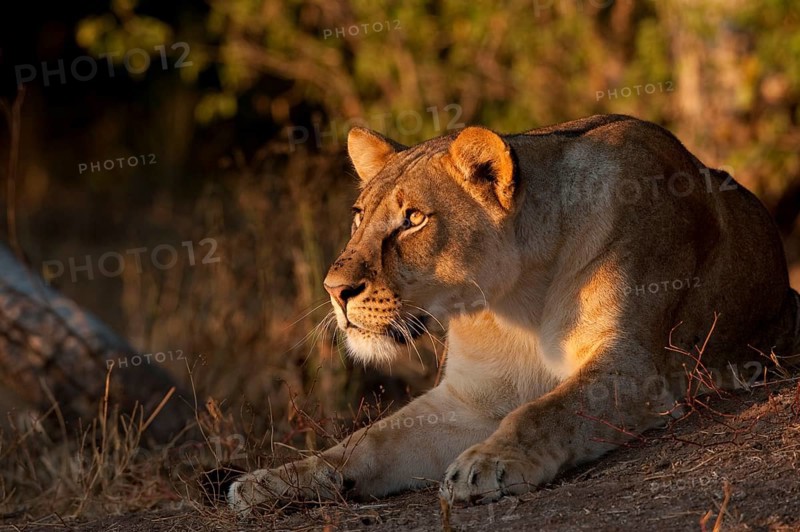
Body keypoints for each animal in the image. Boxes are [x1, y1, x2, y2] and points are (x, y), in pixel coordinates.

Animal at [228, 114, 800, 513]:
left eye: (413, 219)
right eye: (358, 217)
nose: (334, 290)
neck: (512, 304)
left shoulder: (636, 369)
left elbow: (546, 411)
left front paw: (487, 465)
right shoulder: (470, 402)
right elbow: (369, 440)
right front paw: (272, 480)